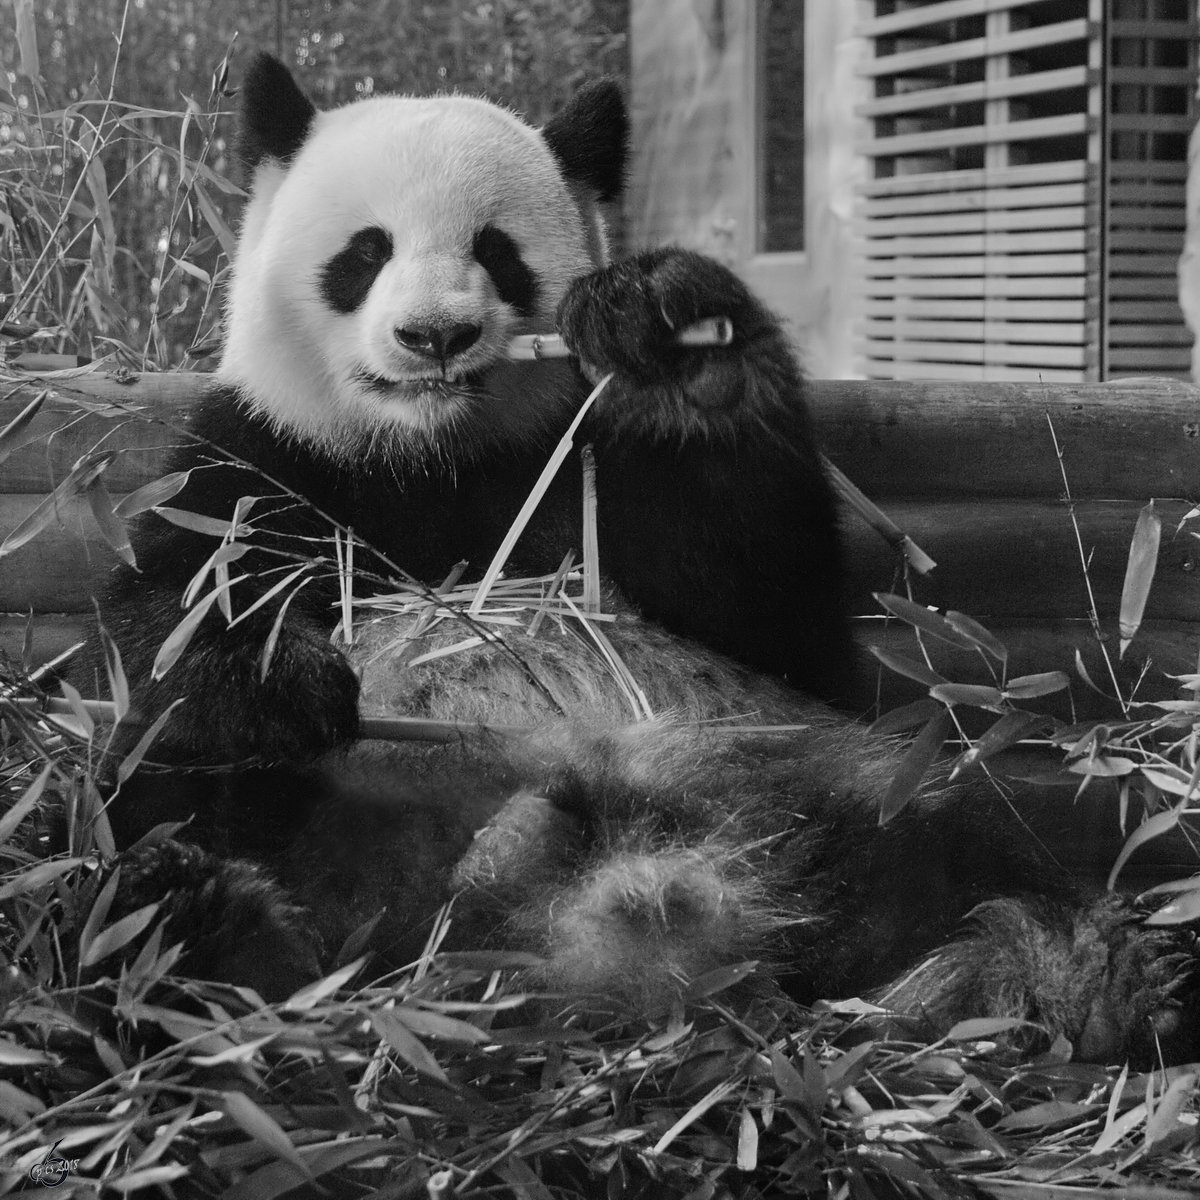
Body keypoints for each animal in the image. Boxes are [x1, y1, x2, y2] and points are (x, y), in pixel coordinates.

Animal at [96, 51, 1200, 1065]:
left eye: (497, 253)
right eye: (365, 253)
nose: (435, 335)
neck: (433, 458)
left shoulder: (596, 462)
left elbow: (776, 618)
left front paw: (669, 335)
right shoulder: (254, 456)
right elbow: (171, 631)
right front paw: (283, 677)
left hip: (827, 775)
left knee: (959, 846)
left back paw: (1099, 978)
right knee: (176, 820)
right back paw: (207, 927)